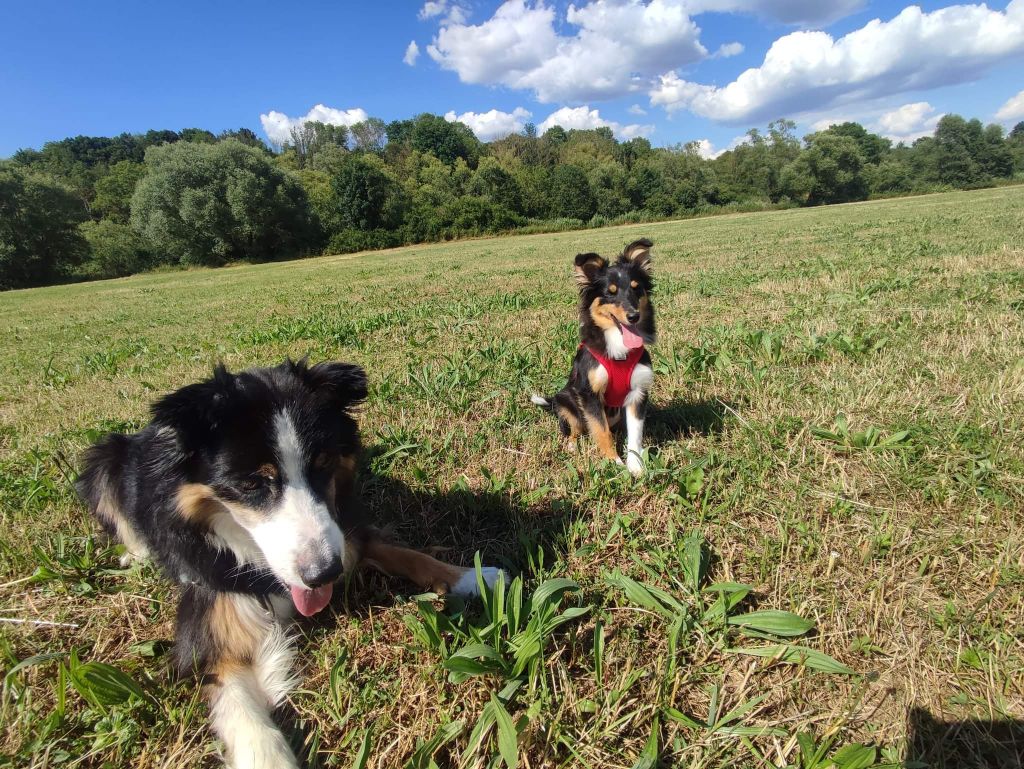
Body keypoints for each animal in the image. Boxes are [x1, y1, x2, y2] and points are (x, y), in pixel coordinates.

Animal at [75, 360, 499, 769]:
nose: (324, 574)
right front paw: (267, 755)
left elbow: (402, 552)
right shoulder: (208, 616)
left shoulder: (347, 532)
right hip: (102, 458)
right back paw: (136, 553)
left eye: (323, 462)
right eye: (251, 484)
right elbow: (240, 704)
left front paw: (470, 577)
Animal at [528, 237, 655, 475]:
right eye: (611, 292)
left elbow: (636, 434)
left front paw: (635, 467)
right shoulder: (589, 393)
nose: (634, 316)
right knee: (575, 429)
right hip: (566, 401)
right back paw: (571, 445)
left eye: (636, 289)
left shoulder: (637, 392)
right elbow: (601, 431)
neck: (618, 349)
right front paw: (614, 463)